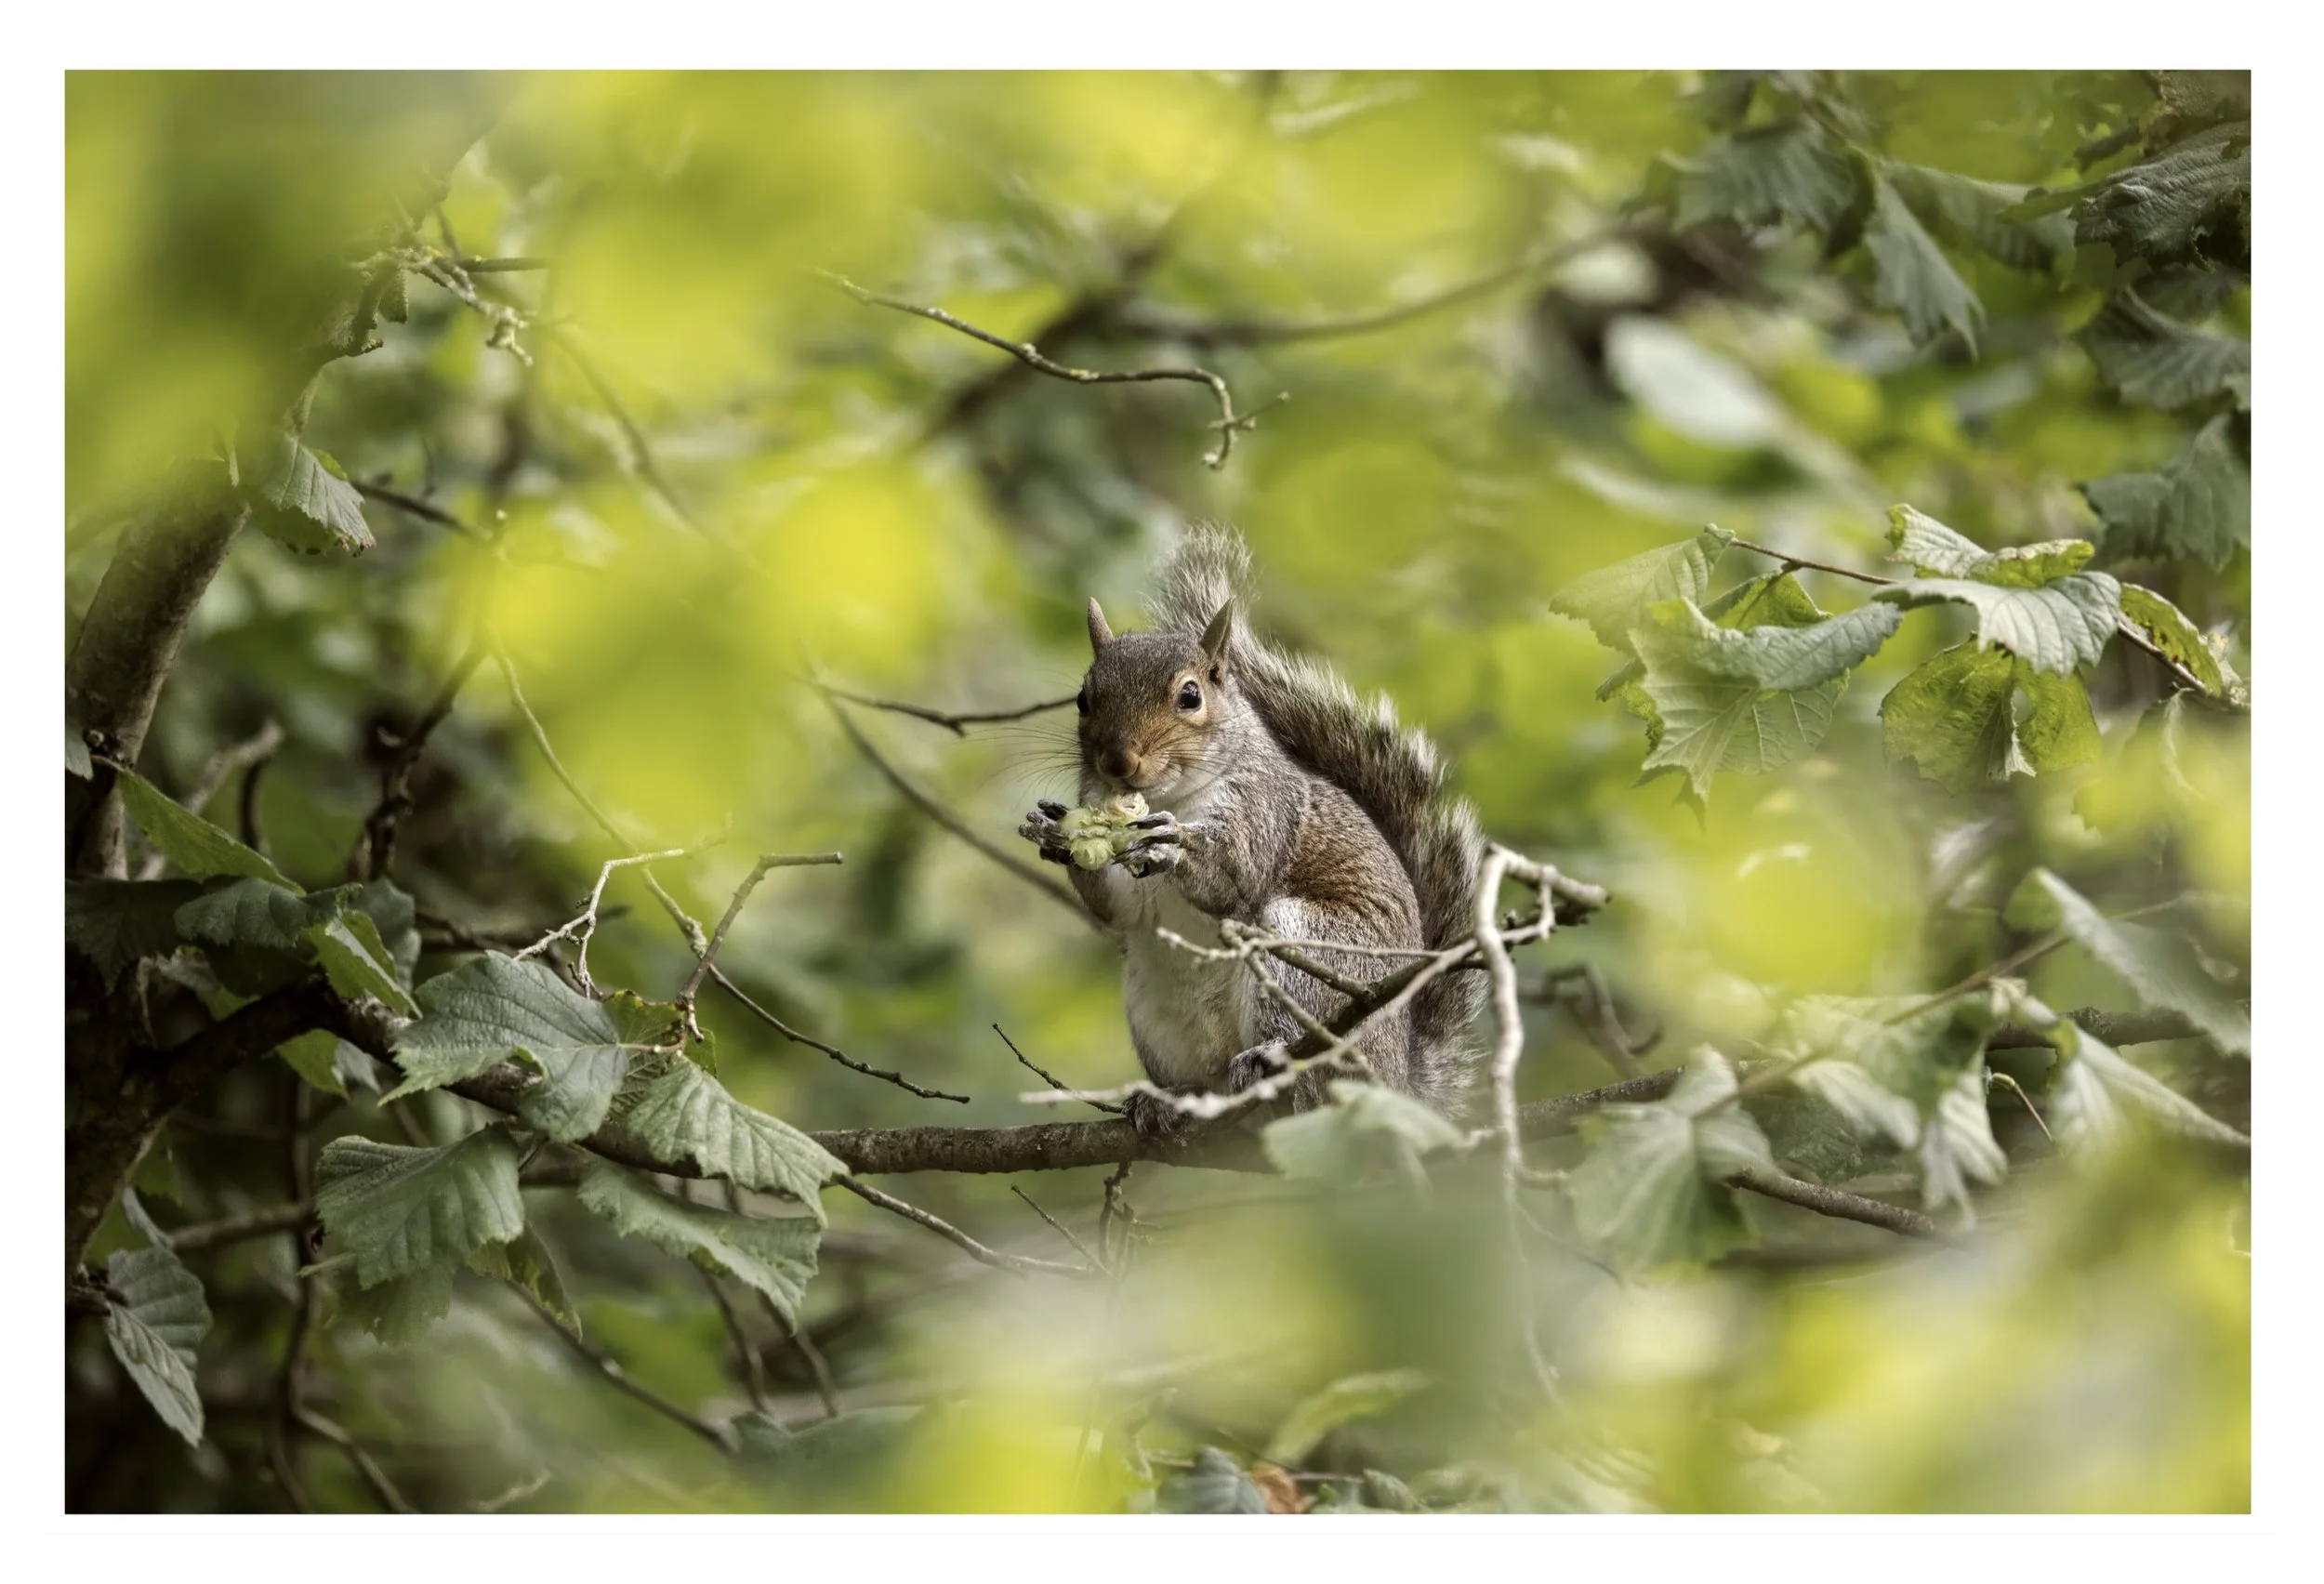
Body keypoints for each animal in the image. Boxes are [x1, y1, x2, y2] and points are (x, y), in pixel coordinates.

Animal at [1018, 525, 1484, 1136]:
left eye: (1190, 696)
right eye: (1083, 699)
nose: (1118, 761)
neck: (1168, 798)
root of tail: (1397, 1084)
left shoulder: (1264, 809)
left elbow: (1234, 875)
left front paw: (1174, 845)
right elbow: (1118, 909)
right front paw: (1058, 836)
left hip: (1309, 959)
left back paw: (1271, 1062)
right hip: (1153, 1011)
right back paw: (1172, 1099)